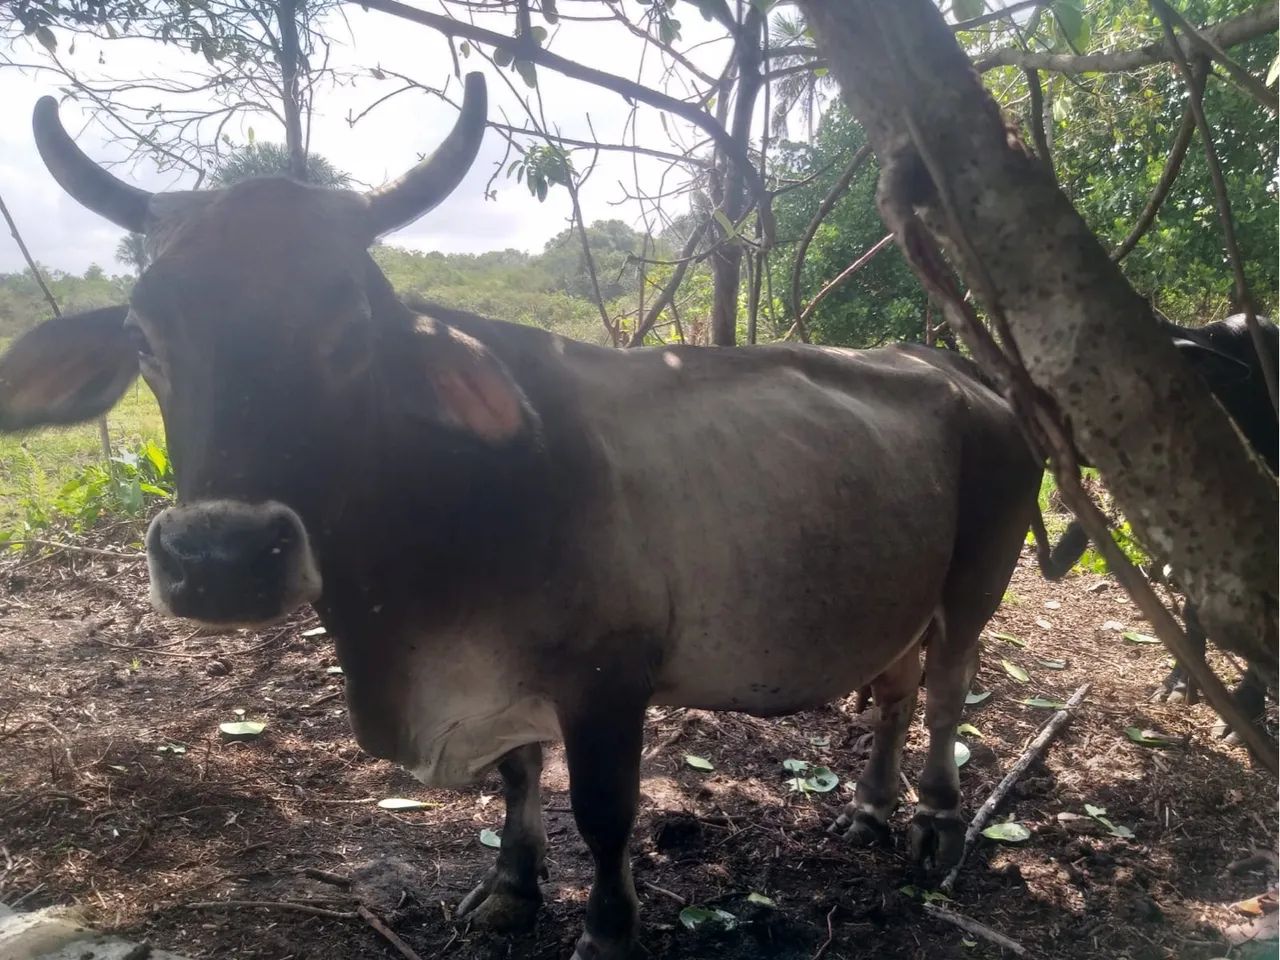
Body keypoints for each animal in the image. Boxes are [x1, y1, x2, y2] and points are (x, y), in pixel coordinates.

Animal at [0, 75, 1046, 960]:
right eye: (143, 336)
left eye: (351, 331)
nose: (219, 558)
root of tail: (959, 369)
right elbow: (516, 776)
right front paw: (511, 887)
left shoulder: (609, 681)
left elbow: (605, 813)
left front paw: (609, 930)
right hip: (900, 595)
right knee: (898, 689)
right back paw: (869, 808)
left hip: (979, 579)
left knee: (948, 692)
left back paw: (936, 825)